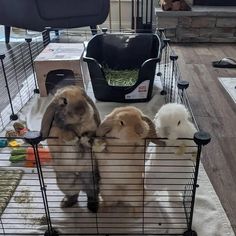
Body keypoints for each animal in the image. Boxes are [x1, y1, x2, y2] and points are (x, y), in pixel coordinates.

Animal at [39, 85, 100, 213]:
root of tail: (80, 183)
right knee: (74, 194)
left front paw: (84, 138)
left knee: (92, 194)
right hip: (65, 183)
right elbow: (63, 132)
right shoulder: (55, 132)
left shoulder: (93, 129)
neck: (77, 125)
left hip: (92, 180)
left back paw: (93, 208)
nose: (81, 111)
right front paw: (73, 138)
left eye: (84, 96)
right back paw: (66, 203)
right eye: (64, 101)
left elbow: (90, 134)